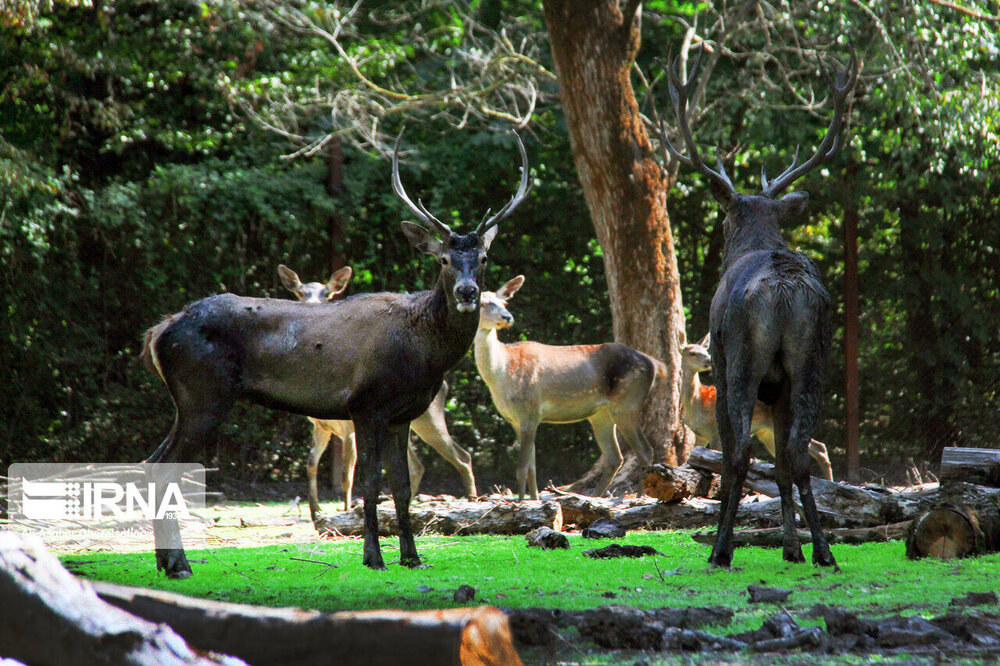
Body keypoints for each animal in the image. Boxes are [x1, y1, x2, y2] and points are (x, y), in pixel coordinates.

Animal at [274, 262, 476, 516]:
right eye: (301, 293)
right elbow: (311, 463)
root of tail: (445, 385)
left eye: (327, 294)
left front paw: (346, 510)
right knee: (418, 465)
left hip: (429, 418)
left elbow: (346, 473)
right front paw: (315, 511)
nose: (312, 307)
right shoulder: (320, 425)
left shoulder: (350, 427)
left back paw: (472, 501)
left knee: (462, 456)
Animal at [472, 274, 660, 498]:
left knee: (644, 450)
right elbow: (532, 468)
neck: (501, 374)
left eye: (505, 302)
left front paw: (521, 501)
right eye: (482, 303)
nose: (507, 317)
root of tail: (652, 364)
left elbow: (521, 468)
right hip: (601, 413)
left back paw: (641, 496)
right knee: (615, 457)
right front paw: (534, 499)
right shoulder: (516, 420)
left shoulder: (529, 410)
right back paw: (596, 497)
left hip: (627, 402)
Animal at [680, 334, 836, 480]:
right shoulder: (700, 435)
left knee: (819, 447)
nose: (708, 360)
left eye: (706, 351)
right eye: (692, 353)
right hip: (767, 433)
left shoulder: (715, 433)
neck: (697, 404)